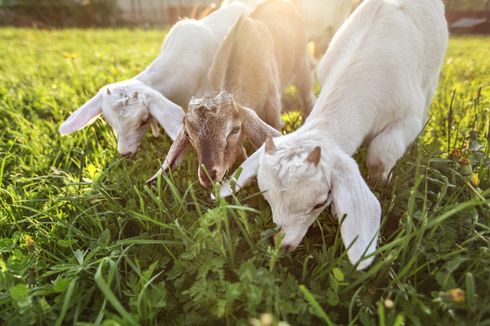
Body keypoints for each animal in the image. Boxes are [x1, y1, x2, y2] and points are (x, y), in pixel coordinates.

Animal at [149, 0, 316, 187]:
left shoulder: (272, 103)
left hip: (302, 67)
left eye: (235, 129)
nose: (208, 176)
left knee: (307, 98)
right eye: (189, 136)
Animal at [220, 0, 450, 270]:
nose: (282, 245)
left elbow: (380, 154)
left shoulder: (409, 117)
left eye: (320, 201)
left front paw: (382, 182)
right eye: (266, 195)